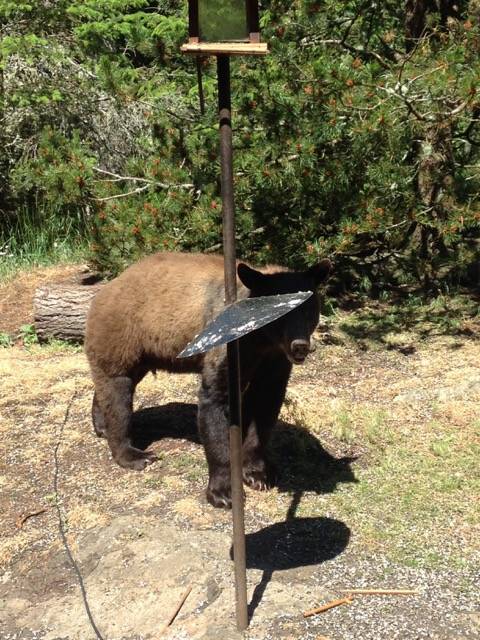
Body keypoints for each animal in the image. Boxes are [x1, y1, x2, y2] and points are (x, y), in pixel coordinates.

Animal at [85, 252, 331, 508]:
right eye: (283, 313)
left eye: (308, 309)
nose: (300, 345)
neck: (261, 340)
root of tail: (107, 287)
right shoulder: (227, 345)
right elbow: (214, 403)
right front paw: (224, 492)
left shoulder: (274, 360)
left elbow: (264, 406)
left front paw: (258, 474)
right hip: (122, 333)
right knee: (118, 391)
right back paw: (135, 454)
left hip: (143, 352)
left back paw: (101, 425)